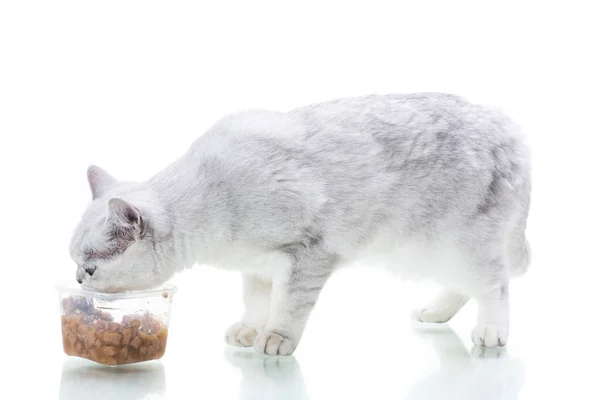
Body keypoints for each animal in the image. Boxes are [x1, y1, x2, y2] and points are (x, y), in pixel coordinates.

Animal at [69, 94, 528, 356]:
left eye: (90, 268)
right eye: (75, 263)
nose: (76, 280)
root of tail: (507, 127)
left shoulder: (308, 255)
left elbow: (287, 308)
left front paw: (274, 339)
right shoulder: (255, 267)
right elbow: (256, 302)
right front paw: (248, 331)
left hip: (458, 242)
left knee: (496, 285)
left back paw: (491, 333)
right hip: (428, 252)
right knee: (466, 286)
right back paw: (434, 313)